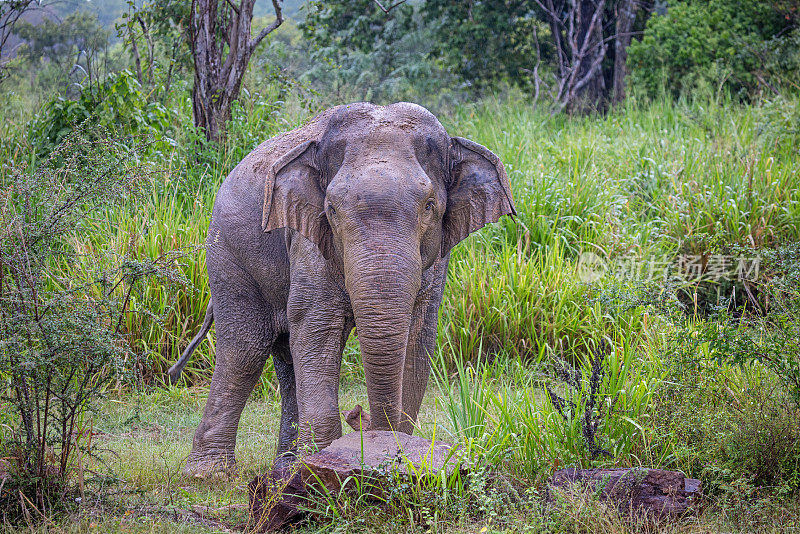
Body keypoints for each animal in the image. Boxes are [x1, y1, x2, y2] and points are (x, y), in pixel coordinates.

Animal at [171, 102, 516, 480]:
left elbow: (417, 338)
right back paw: (209, 474)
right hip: (227, 255)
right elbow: (316, 327)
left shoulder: (437, 258)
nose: (359, 416)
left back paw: (282, 470)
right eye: (332, 209)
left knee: (285, 359)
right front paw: (318, 475)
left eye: (429, 205)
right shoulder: (307, 237)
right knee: (244, 352)